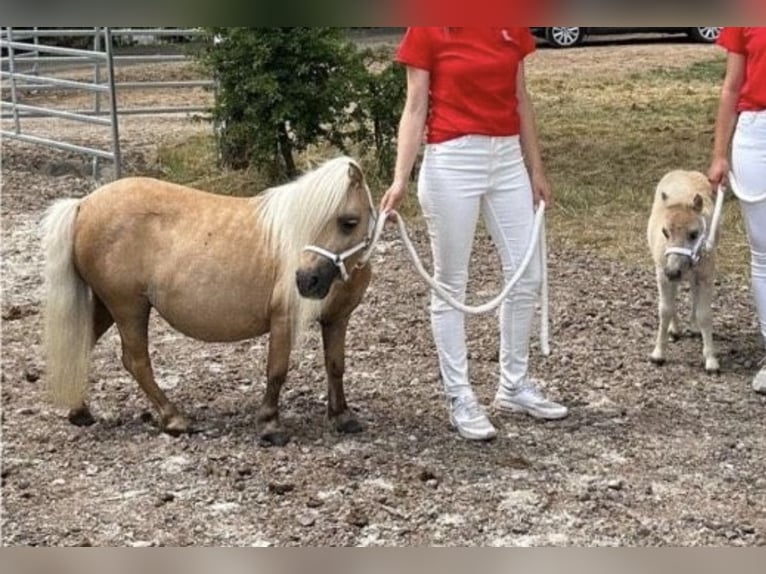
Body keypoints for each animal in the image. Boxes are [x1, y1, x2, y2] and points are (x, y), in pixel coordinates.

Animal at [42, 155, 378, 448]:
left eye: (349, 222)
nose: (306, 280)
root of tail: (82, 204)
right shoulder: (284, 320)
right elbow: (277, 371)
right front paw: (270, 426)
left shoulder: (337, 319)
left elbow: (335, 366)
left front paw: (342, 417)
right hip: (128, 308)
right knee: (136, 361)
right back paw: (174, 419)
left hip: (107, 306)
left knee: (82, 346)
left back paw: (80, 411)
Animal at [648, 169, 720, 374]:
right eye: (665, 232)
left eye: (694, 234)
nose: (673, 271)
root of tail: (684, 171)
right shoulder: (662, 274)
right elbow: (665, 309)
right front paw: (658, 354)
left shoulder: (706, 275)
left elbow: (705, 314)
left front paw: (711, 360)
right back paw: (675, 329)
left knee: (693, 293)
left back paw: (693, 327)